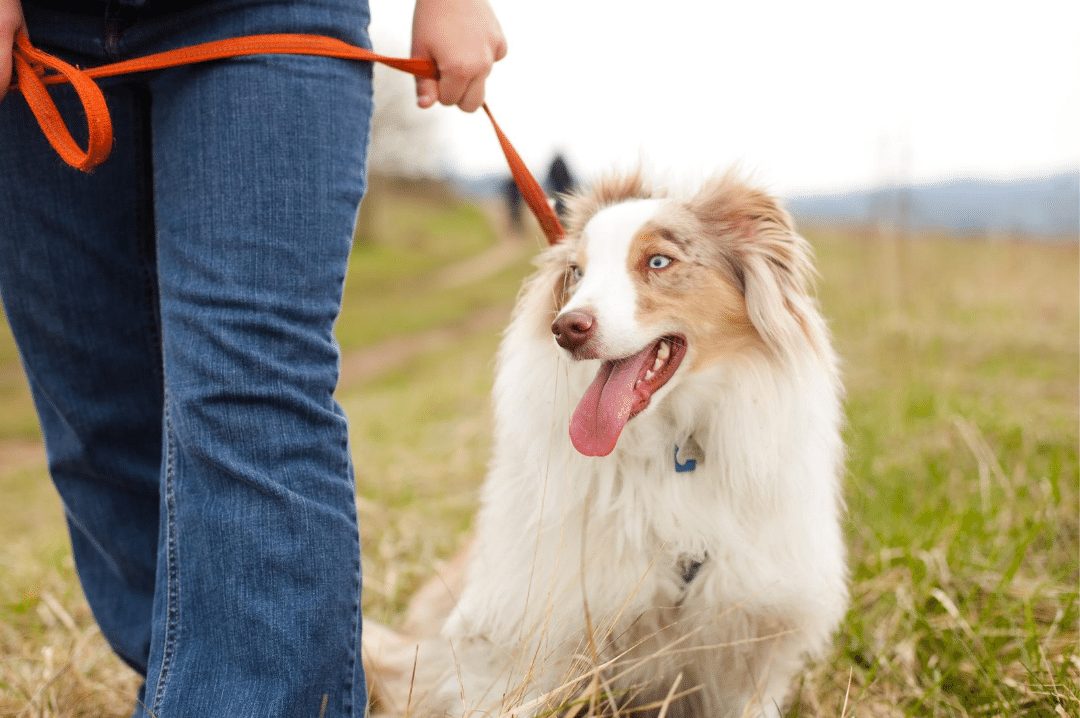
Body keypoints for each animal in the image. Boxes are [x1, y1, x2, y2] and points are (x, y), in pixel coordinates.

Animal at [362, 172, 842, 716]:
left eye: (658, 262)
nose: (566, 328)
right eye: (577, 272)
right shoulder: (522, 627)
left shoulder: (752, 629)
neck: (669, 447)